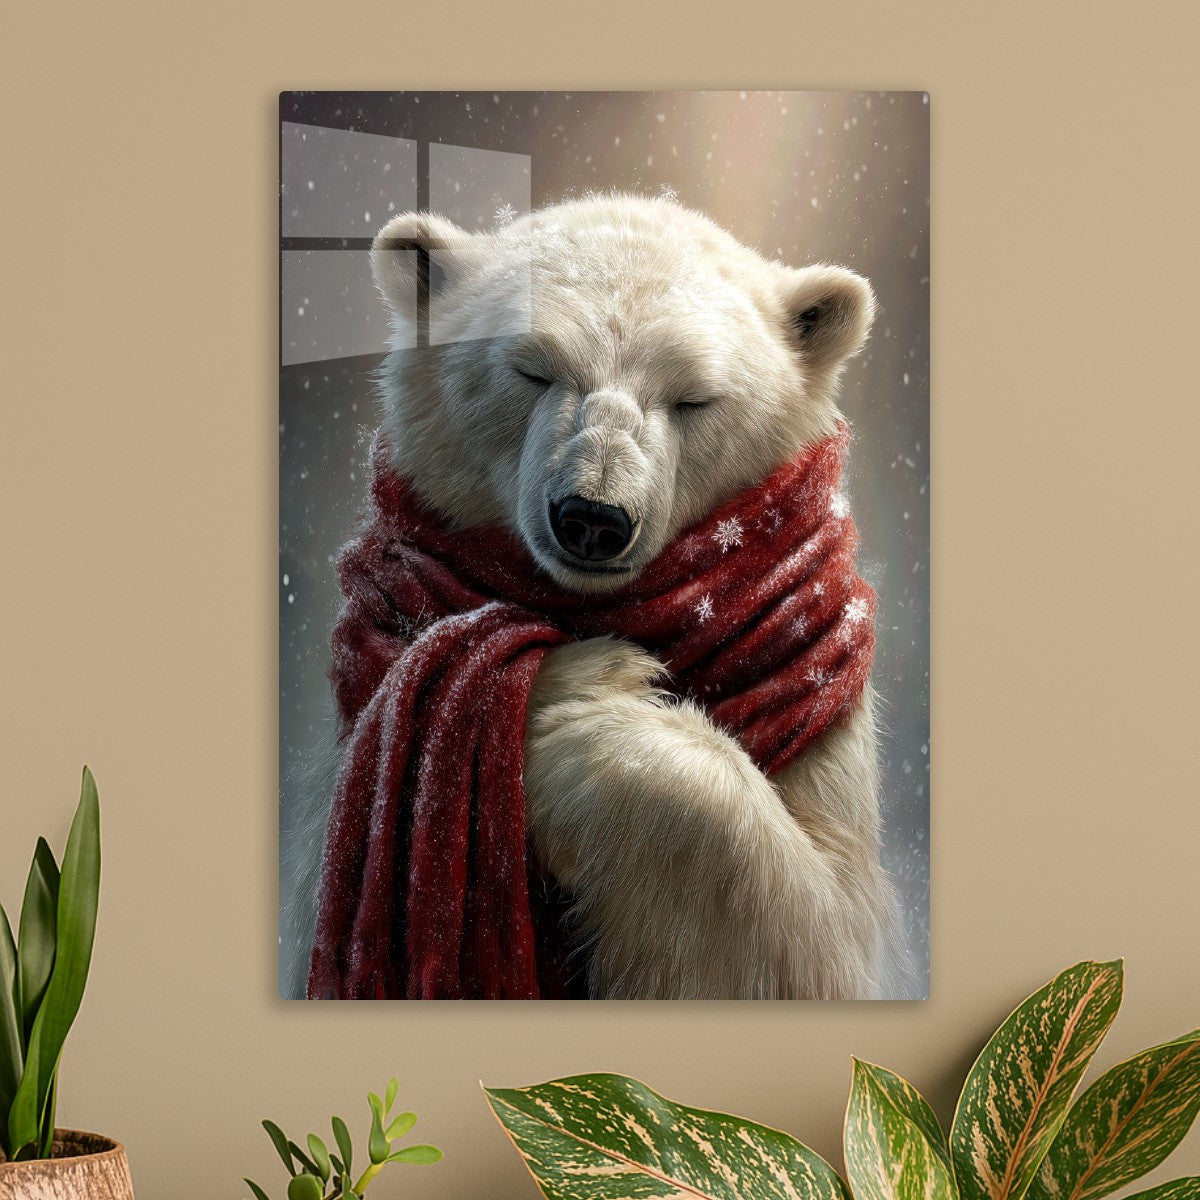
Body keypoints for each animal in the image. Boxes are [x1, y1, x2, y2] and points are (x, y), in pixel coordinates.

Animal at [282, 192, 906, 1000]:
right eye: (532, 371)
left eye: (694, 398)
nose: (592, 518)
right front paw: (582, 677)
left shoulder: (830, 732)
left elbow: (817, 941)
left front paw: (577, 707)